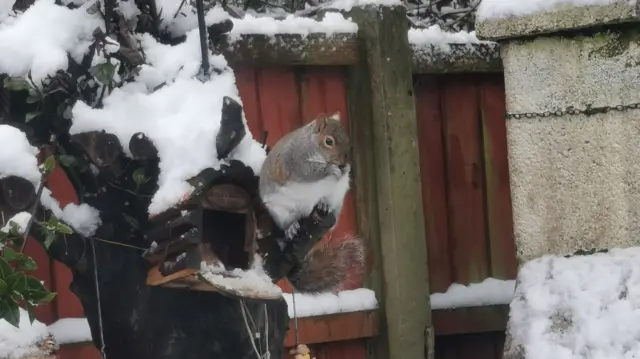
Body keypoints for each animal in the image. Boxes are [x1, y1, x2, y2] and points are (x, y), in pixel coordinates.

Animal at [258, 112, 350, 243]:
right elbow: (310, 172)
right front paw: (331, 169)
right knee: (287, 223)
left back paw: (323, 204)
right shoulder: (296, 162)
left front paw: (346, 168)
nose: (343, 161)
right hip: (281, 212)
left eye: (347, 138)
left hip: (336, 198)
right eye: (329, 141)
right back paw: (291, 227)